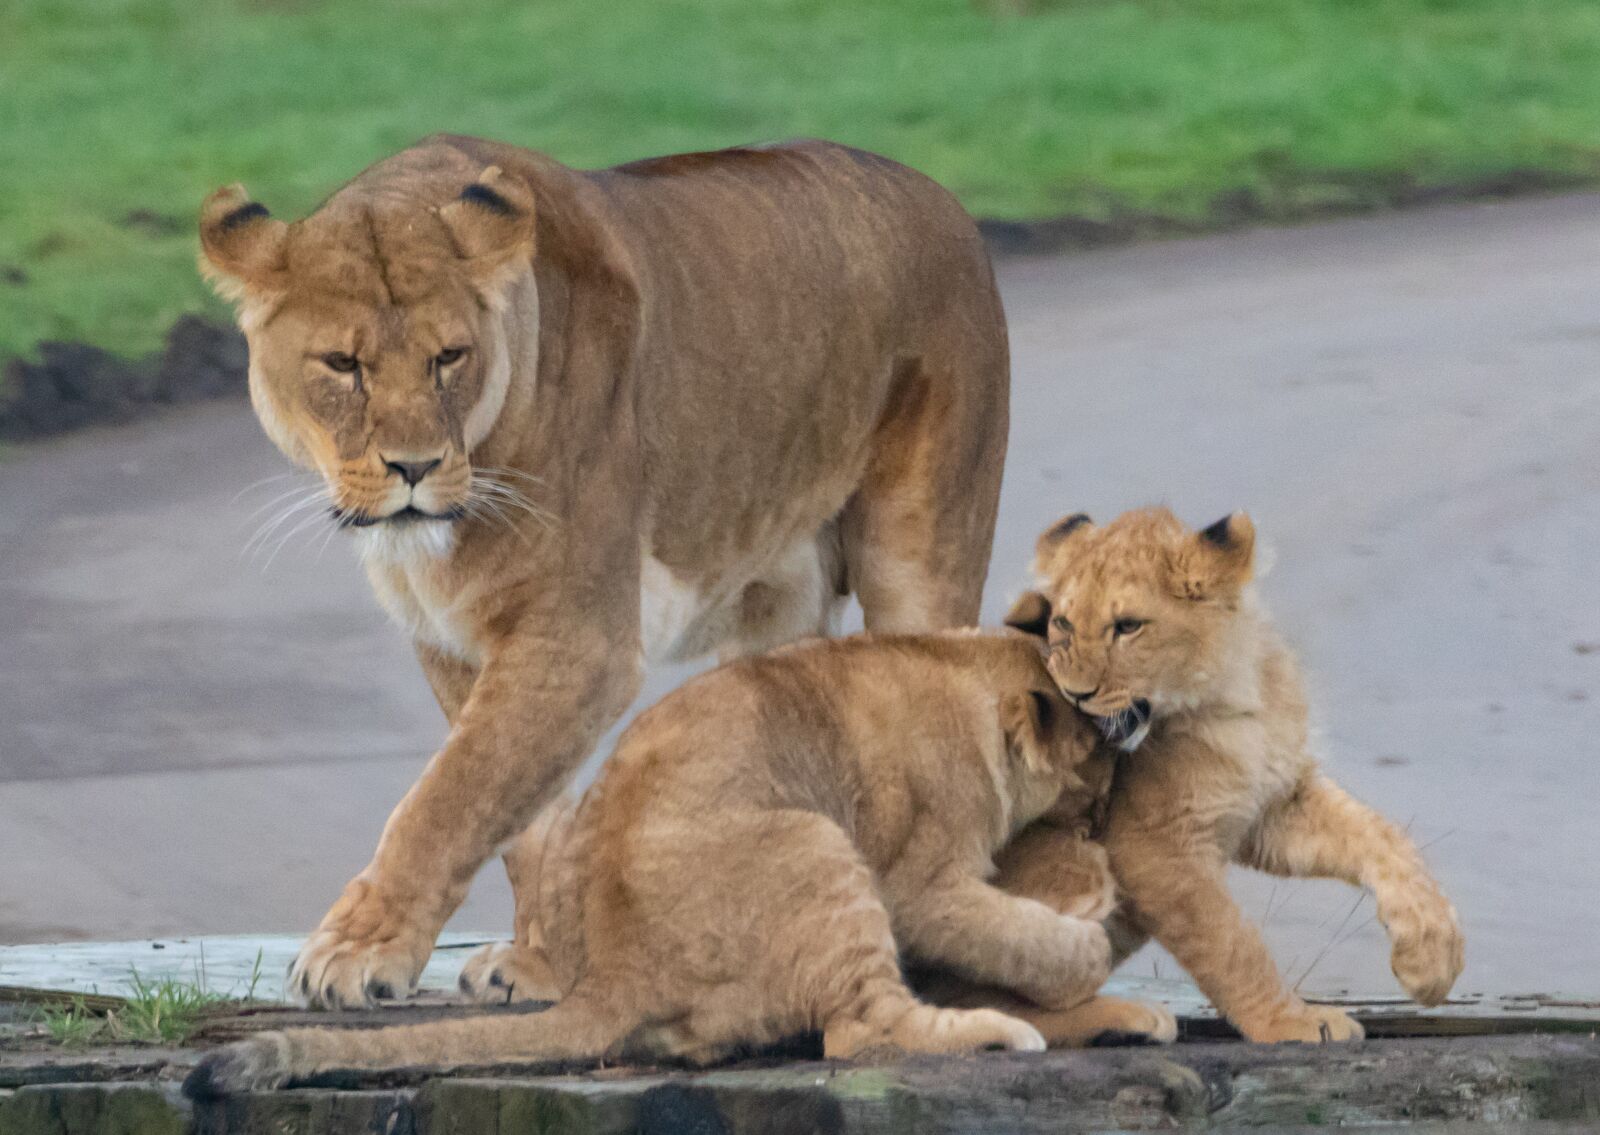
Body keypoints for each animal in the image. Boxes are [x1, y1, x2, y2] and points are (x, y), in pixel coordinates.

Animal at [186, 630, 1175, 1095]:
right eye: (1093, 784)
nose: (1100, 821)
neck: (962, 664)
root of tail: (613, 974)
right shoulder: (922, 878)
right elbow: (1017, 936)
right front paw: (1084, 941)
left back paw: (1122, 1021)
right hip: (817, 843)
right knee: (863, 1030)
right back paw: (1001, 1031)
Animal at [198, 135, 1010, 1008]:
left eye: (448, 357)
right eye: (342, 364)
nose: (414, 467)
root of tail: (938, 193)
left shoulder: (578, 641)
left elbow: (447, 799)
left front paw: (357, 949)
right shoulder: (453, 640)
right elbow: (523, 815)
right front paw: (544, 964)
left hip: (921, 552)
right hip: (775, 606)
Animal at [1013, 506, 1465, 1043]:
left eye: (1128, 626)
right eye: (1062, 622)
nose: (1074, 695)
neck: (1232, 701)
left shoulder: (1272, 805)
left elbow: (1382, 836)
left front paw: (1431, 962)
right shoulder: (1153, 849)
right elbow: (1231, 945)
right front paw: (1293, 1021)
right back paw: (1124, 1020)